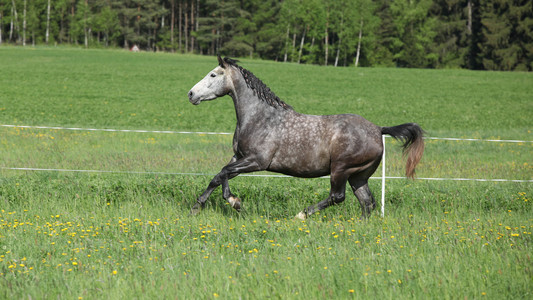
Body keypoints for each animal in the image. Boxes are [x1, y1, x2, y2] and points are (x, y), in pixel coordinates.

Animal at [188, 56, 424, 219]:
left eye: (213, 75)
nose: (191, 94)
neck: (260, 117)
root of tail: (377, 129)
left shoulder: (257, 161)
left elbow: (224, 174)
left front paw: (231, 202)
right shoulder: (239, 157)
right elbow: (219, 175)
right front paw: (200, 206)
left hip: (341, 169)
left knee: (338, 197)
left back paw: (302, 214)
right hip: (358, 176)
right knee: (367, 203)